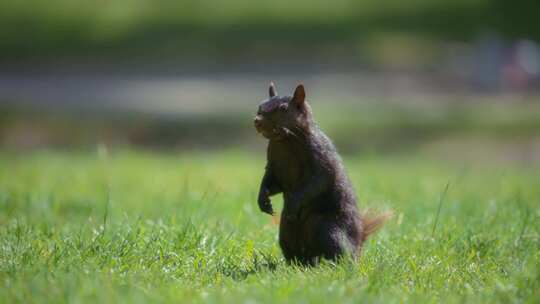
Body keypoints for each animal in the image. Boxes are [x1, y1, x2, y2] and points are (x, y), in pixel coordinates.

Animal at [255, 82, 390, 264]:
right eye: (260, 106)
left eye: (283, 108)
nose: (257, 121)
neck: (285, 141)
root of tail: (359, 243)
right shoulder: (273, 166)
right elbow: (271, 182)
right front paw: (263, 200)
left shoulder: (321, 159)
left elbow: (317, 182)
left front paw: (292, 202)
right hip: (286, 232)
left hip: (327, 229)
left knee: (341, 254)